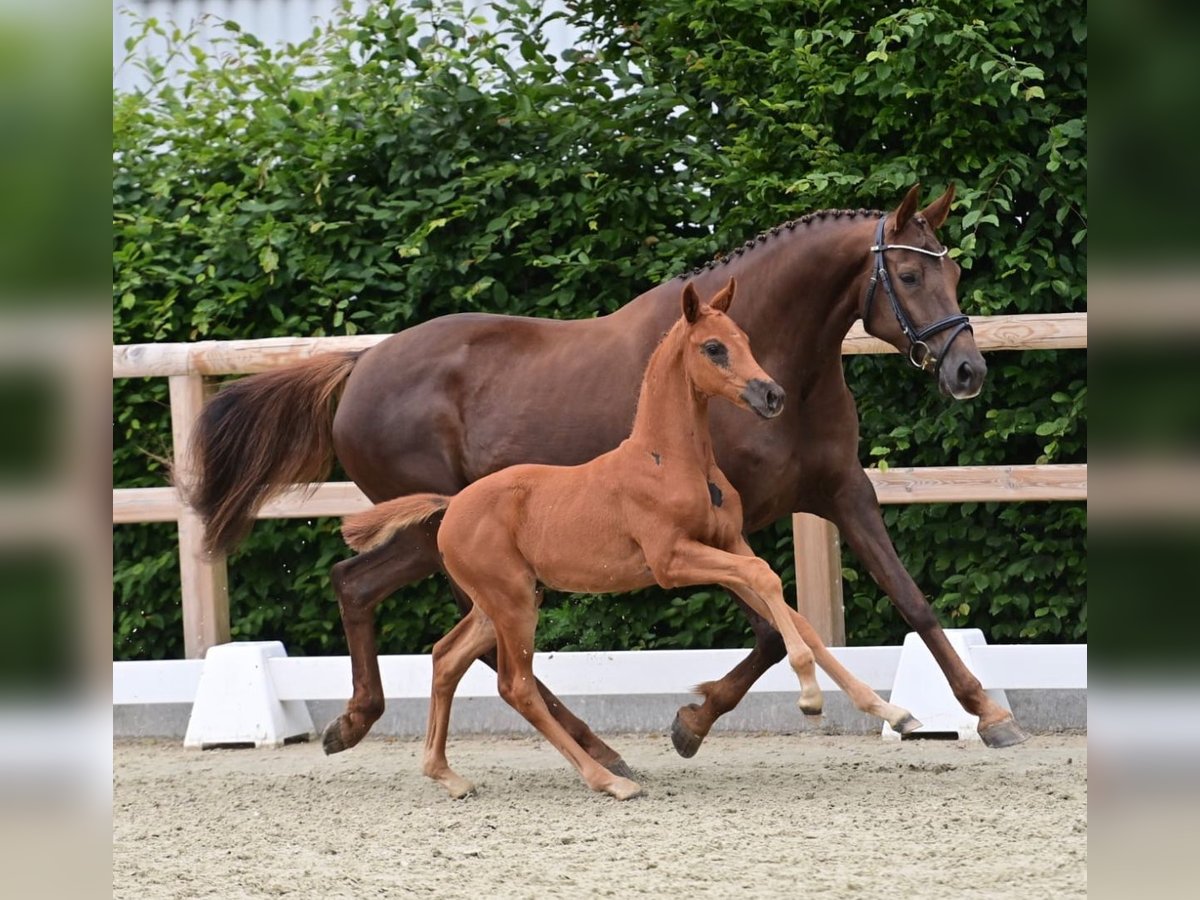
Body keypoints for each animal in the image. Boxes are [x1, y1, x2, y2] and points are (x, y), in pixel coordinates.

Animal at [343, 278, 912, 801]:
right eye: (713, 347)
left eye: (747, 339)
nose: (772, 395)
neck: (668, 460)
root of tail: (452, 505)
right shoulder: (671, 561)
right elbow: (767, 581)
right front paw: (810, 696)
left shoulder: (729, 544)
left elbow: (795, 615)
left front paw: (891, 709)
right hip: (512, 603)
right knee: (515, 685)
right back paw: (609, 779)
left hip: (501, 601)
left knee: (446, 657)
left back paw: (446, 774)